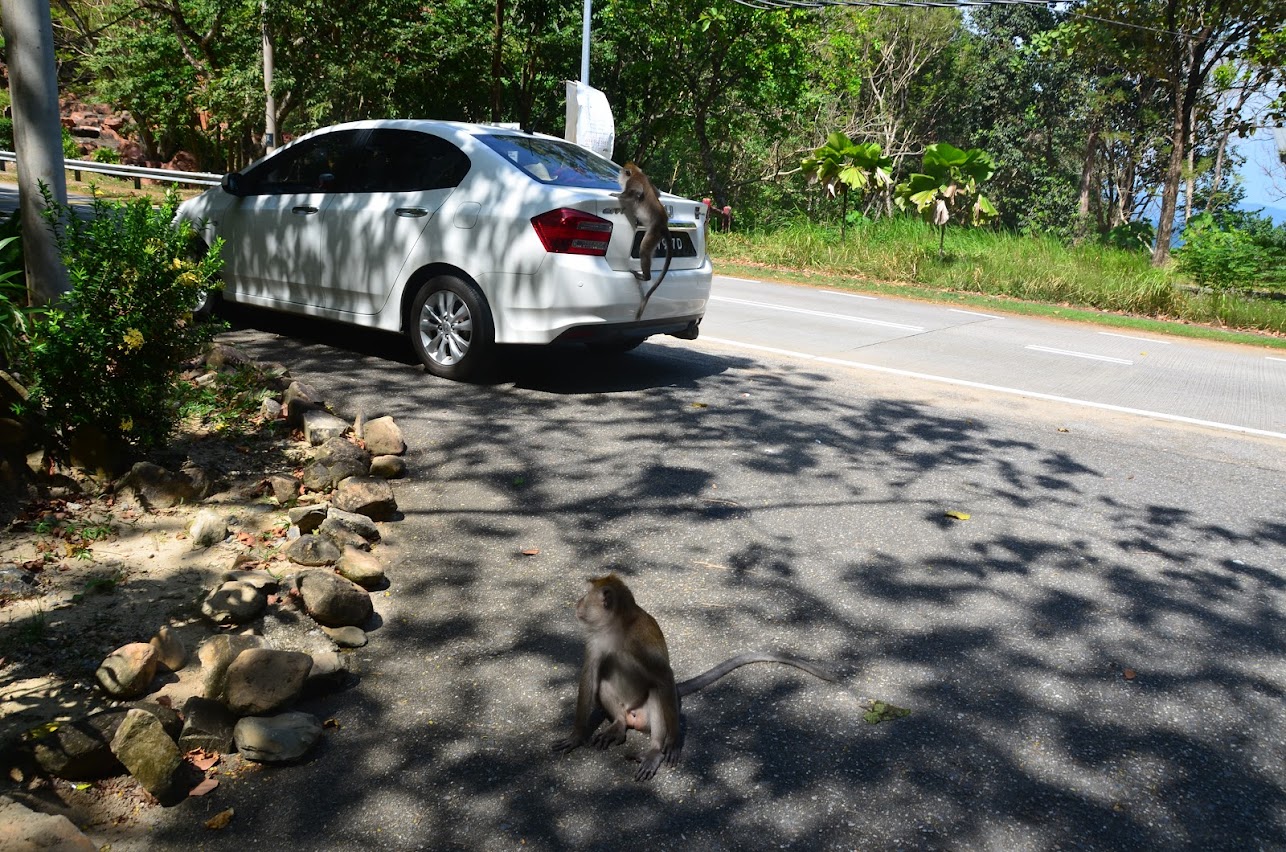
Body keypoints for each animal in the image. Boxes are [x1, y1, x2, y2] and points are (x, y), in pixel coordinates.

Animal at [550, 575, 833, 781]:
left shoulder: (641, 643)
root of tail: (631, 715)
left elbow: (664, 676)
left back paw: (654, 750)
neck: (617, 629)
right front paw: (577, 736)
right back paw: (618, 725)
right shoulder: (597, 640)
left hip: (649, 712)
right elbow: (590, 677)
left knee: (658, 692)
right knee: (607, 687)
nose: (577, 603)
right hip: (625, 709)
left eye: (586, 596)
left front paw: (674, 743)